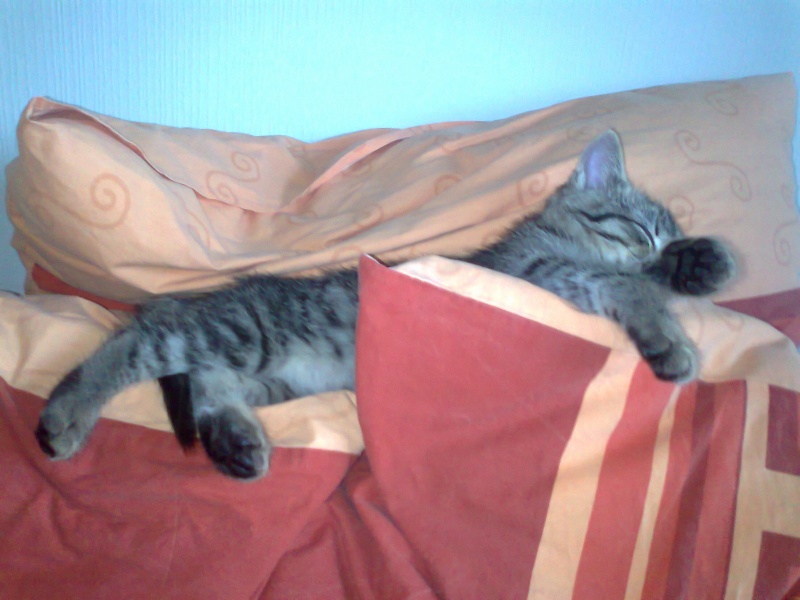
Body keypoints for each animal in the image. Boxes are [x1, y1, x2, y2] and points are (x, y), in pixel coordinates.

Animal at [35, 130, 736, 480]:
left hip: (271, 378)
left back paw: (234, 443)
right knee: (134, 341)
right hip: (238, 334)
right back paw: (65, 417)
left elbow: (637, 278)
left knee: (205, 382)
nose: (661, 246)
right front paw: (668, 330)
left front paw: (697, 263)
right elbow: (623, 281)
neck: (545, 232)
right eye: (638, 228)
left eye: (662, 232)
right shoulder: (532, 270)